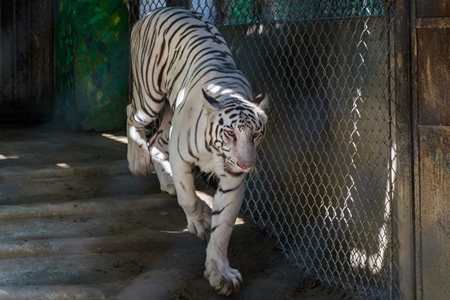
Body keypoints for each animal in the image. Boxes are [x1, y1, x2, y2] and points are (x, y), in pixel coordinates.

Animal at [125, 7, 268, 296]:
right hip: (150, 96)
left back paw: (166, 182)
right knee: (132, 113)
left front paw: (220, 273)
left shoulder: (233, 181)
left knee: (156, 141)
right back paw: (137, 161)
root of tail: (156, 10)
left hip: (169, 115)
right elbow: (188, 196)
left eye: (256, 135)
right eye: (230, 134)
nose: (246, 165)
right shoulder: (180, 157)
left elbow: (223, 227)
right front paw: (200, 221)